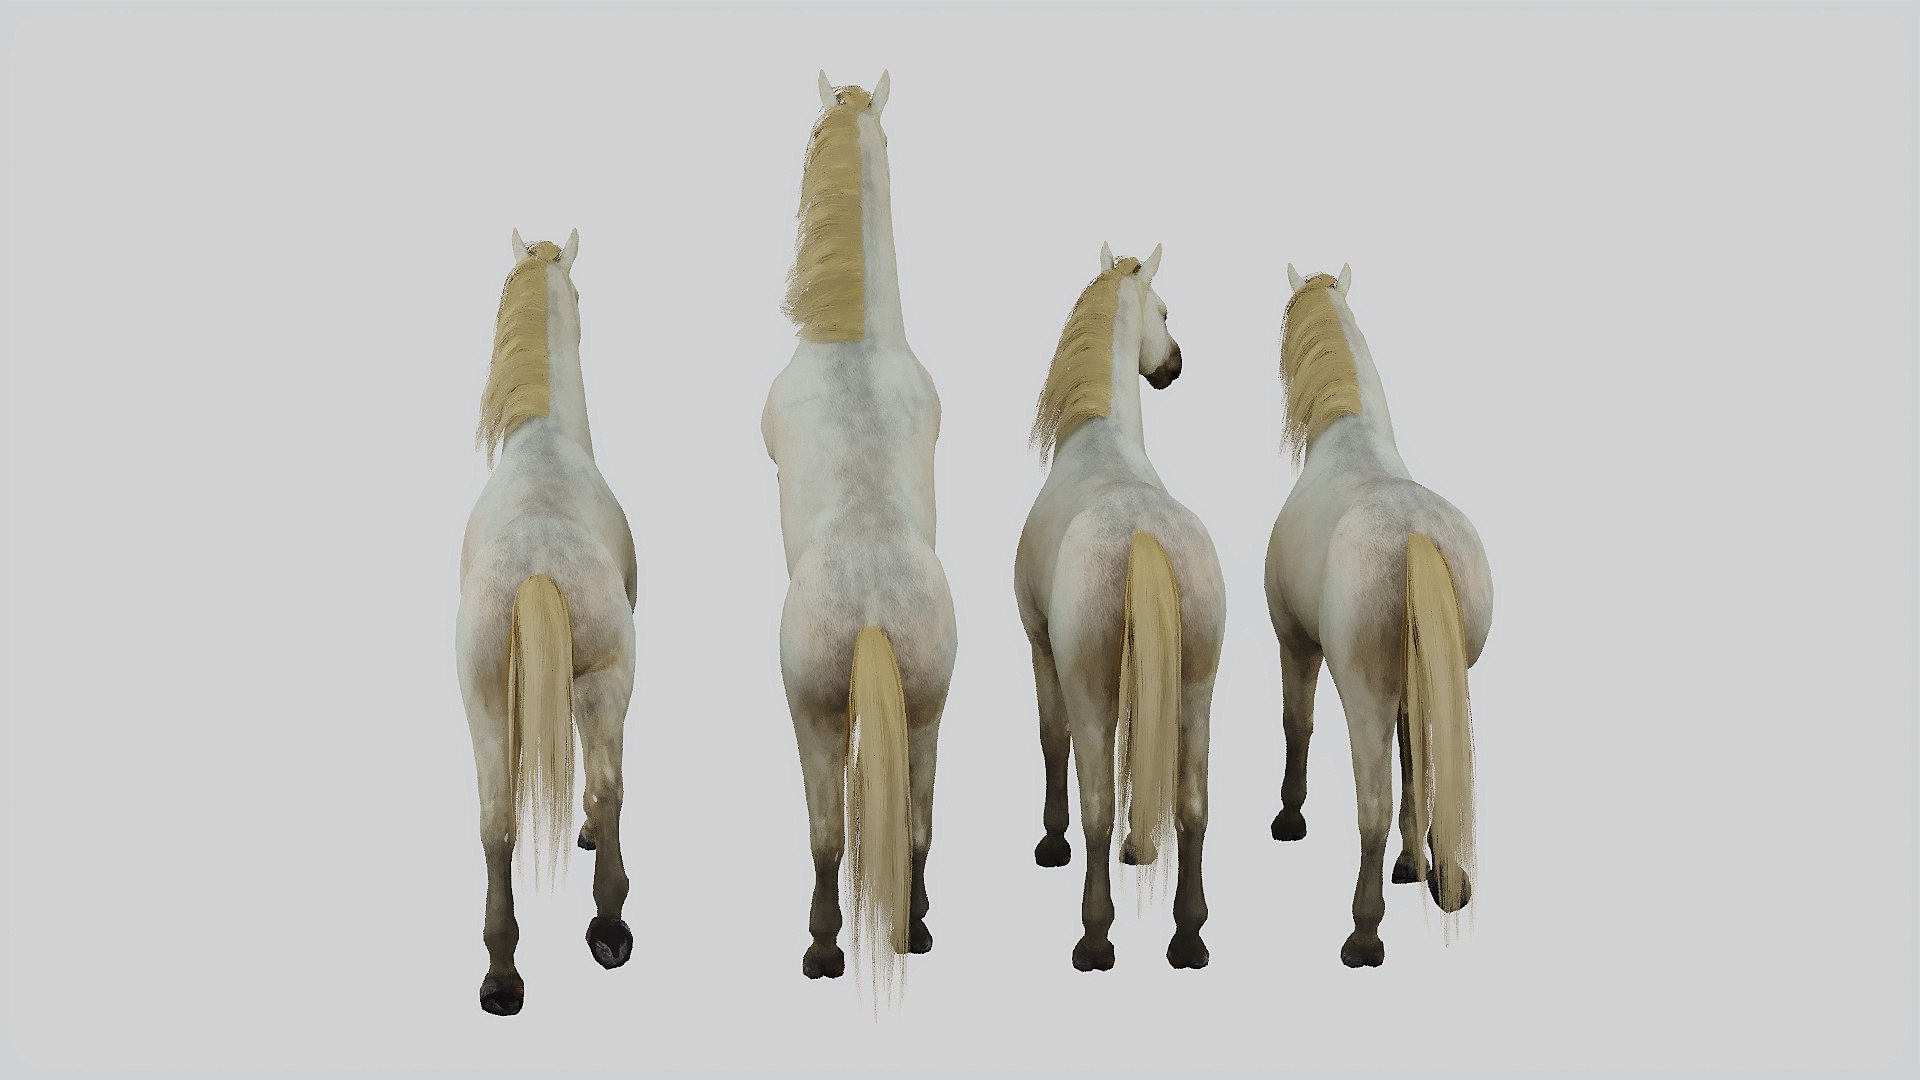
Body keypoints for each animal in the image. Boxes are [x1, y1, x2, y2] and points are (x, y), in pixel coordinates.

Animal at [1015, 243, 1226, 972]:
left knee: (1097, 805)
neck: (1099, 442)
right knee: (1193, 806)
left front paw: (1051, 843)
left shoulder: (1040, 646)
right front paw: (1142, 848)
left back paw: (1094, 936)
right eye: (1163, 311)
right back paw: (1188, 935)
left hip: (1091, 691)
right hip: (1196, 690)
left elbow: (1051, 740)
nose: (1174, 363)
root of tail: (1142, 535)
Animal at [1264, 264, 1492, 968]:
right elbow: (1417, 766)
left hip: (1362, 694)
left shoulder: (1294, 644)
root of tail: (1413, 533)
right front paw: (1416, 867)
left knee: (1372, 806)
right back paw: (1436, 877)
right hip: (1439, 681)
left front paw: (1289, 817)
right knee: (1429, 774)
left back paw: (1363, 934)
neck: (1350, 440)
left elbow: (1298, 725)